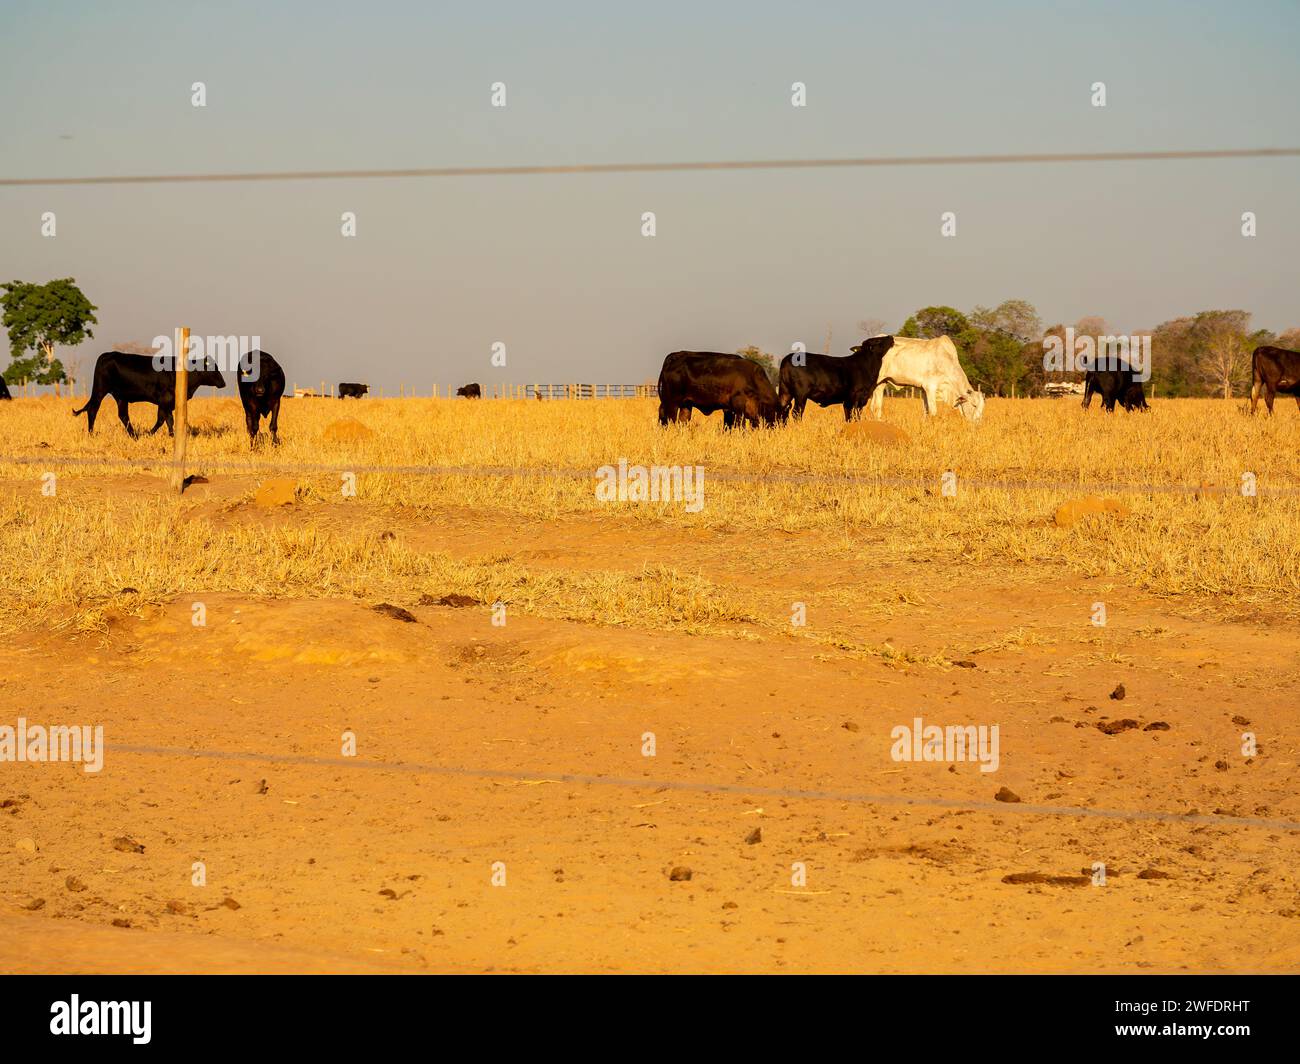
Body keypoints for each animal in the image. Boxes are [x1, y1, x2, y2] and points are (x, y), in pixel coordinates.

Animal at [71, 351, 226, 434]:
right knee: (93, 410)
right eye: (213, 368)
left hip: (121, 396)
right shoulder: (165, 400)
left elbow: (162, 419)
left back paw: (134, 435)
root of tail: (107, 354)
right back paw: (91, 433)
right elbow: (167, 419)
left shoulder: (165, 403)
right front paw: (168, 434)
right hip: (100, 390)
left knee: (123, 416)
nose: (223, 383)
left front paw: (151, 433)